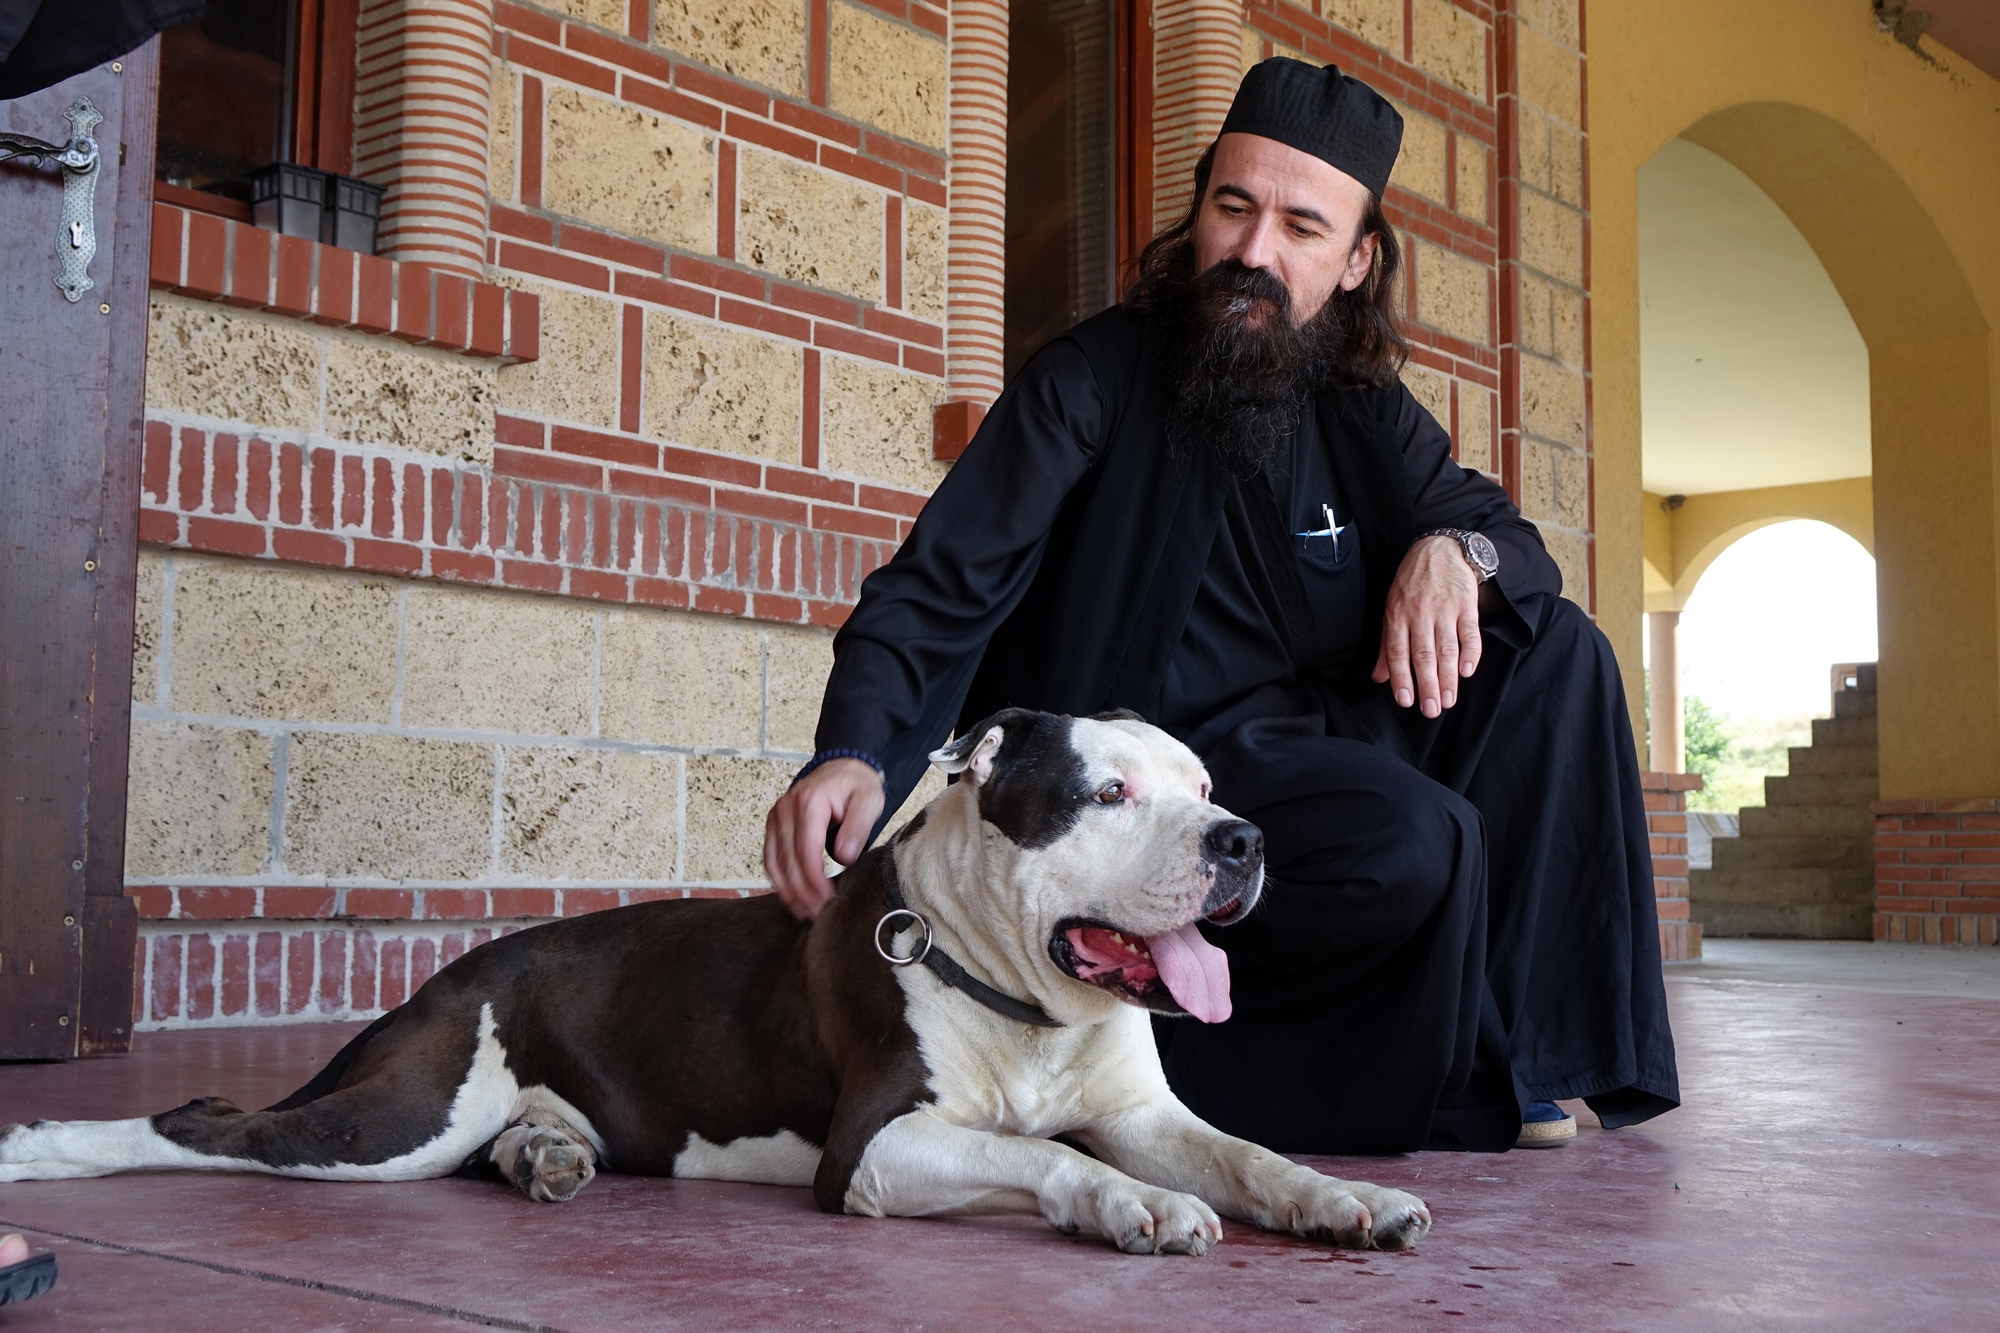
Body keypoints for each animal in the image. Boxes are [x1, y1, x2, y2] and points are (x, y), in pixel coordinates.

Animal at [3, 712, 1440, 1248]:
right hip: (393, 1122)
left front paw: (1345, 1197)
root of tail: (449, 972)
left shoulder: (1145, 1113)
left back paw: (546, 1156)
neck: (1021, 1000)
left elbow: (1248, 1153)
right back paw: (41, 1152)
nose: (1241, 839)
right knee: (197, 1123)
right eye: (1107, 795)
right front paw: (1131, 1209)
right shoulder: (877, 1147)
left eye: (1204, 783)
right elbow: (1041, 1157)